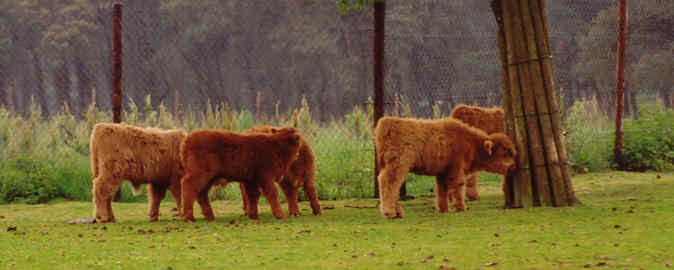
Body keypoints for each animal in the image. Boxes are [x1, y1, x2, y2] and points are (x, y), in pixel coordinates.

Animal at [372, 117, 516, 218]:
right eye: (505, 153)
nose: (514, 166)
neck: (471, 143)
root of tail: (388, 122)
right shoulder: (456, 170)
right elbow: (457, 188)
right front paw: (461, 207)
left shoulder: (442, 172)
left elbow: (442, 190)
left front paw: (443, 209)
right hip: (398, 166)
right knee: (388, 183)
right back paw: (390, 213)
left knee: (394, 187)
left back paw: (398, 212)